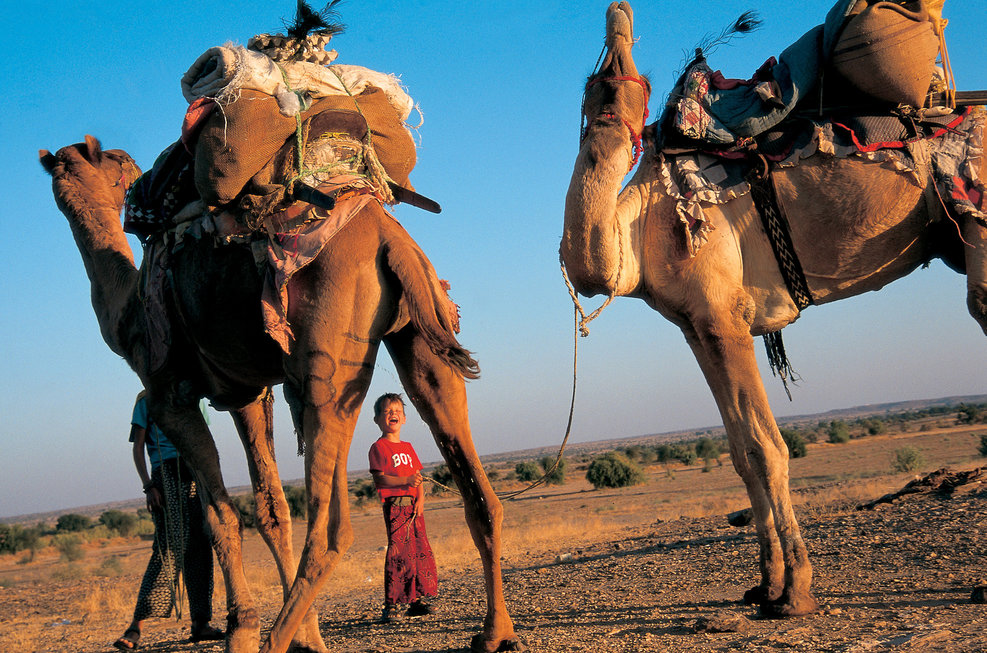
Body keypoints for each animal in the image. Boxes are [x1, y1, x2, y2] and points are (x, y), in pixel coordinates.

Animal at [40, 134, 516, 652]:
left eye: (99, 161)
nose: (125, 161)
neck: (127, 310)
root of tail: (391, 239)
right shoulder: (245, 394)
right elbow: (271, 510)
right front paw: (309, 636)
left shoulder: (169, 394)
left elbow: (220, 516)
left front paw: (245, 629)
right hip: (420, 337)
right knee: (475, 485)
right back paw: (495, 633)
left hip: (327, 364)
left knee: (332, 529)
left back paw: (273, 641)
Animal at [564, 2, 987, 616]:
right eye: (595, 84)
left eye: (632, 80)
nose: (619, 15)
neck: (643, 223)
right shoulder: (697, 327)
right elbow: (741, 454)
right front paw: (763, 585)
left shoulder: (725, 317)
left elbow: (765, 449)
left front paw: (796, 592)